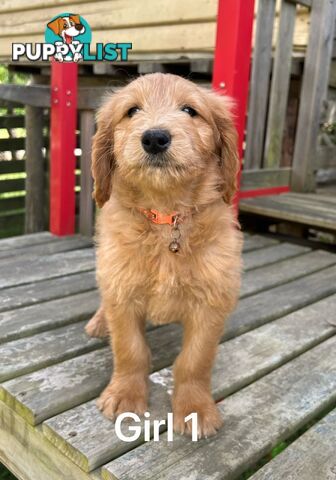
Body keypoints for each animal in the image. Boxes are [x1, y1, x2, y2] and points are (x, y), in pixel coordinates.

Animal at [86, 72, 242, 438]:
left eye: (189, 110)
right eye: (131, 111)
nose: (155, 138)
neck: (166, 217)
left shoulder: (211, 301)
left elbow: (194, 361)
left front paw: (195, 408)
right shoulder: (121, 289)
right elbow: (130, 350)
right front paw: (125, 395)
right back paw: (99, 321)